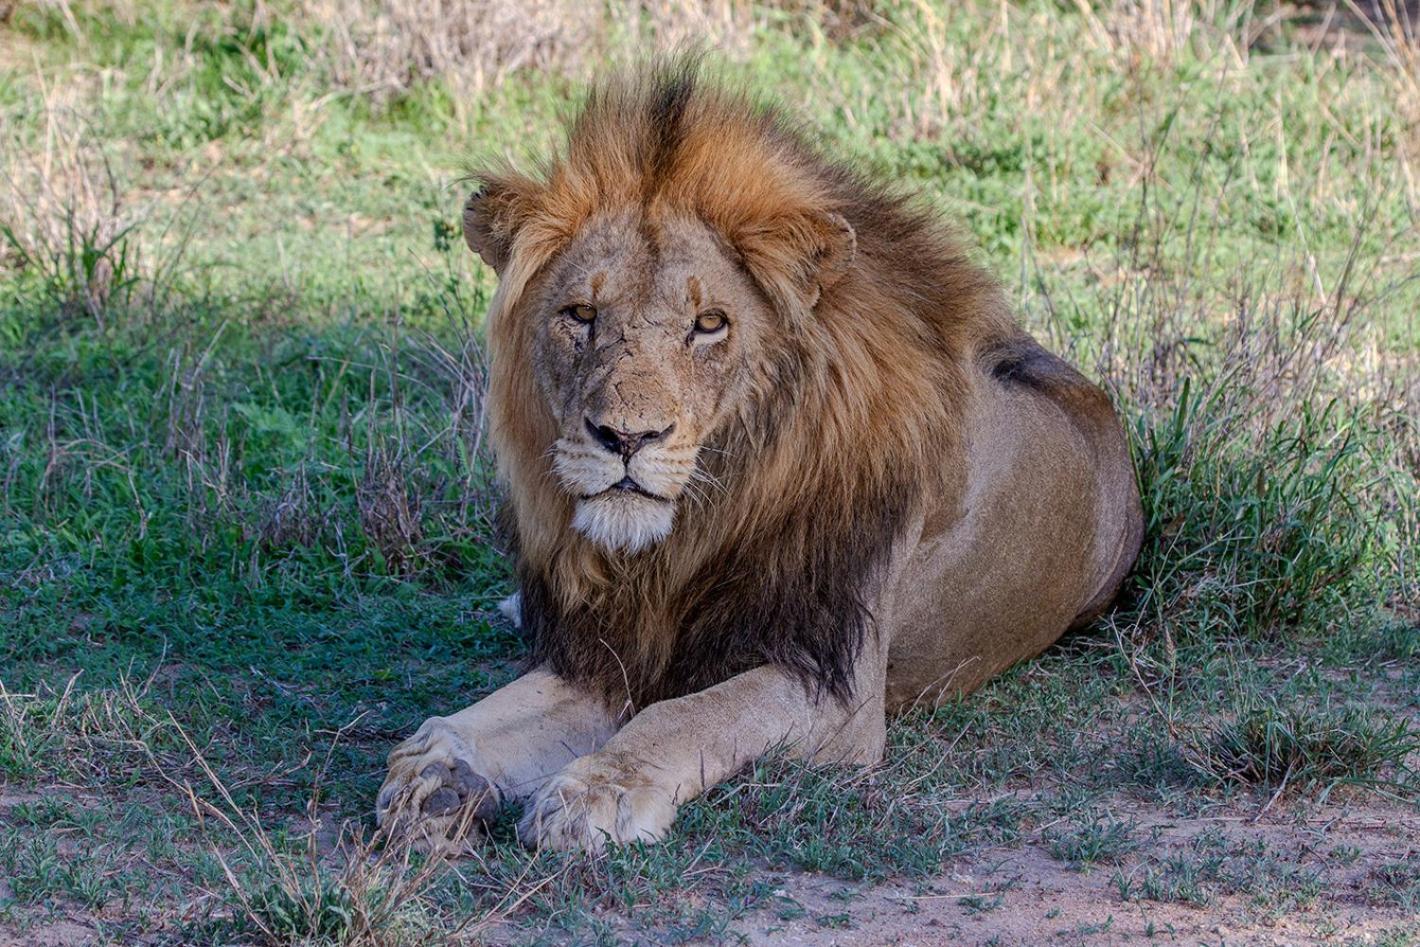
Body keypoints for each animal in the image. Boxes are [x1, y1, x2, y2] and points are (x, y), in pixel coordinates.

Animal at [374, 61, 1141, 857]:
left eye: (710, 324)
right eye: (580, 315)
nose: (625, 438)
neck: (697, 531)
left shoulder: (838, 685)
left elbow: (686, 716)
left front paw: (597, 792)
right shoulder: (617, 647)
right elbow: (494, 709)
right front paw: (437, 772)